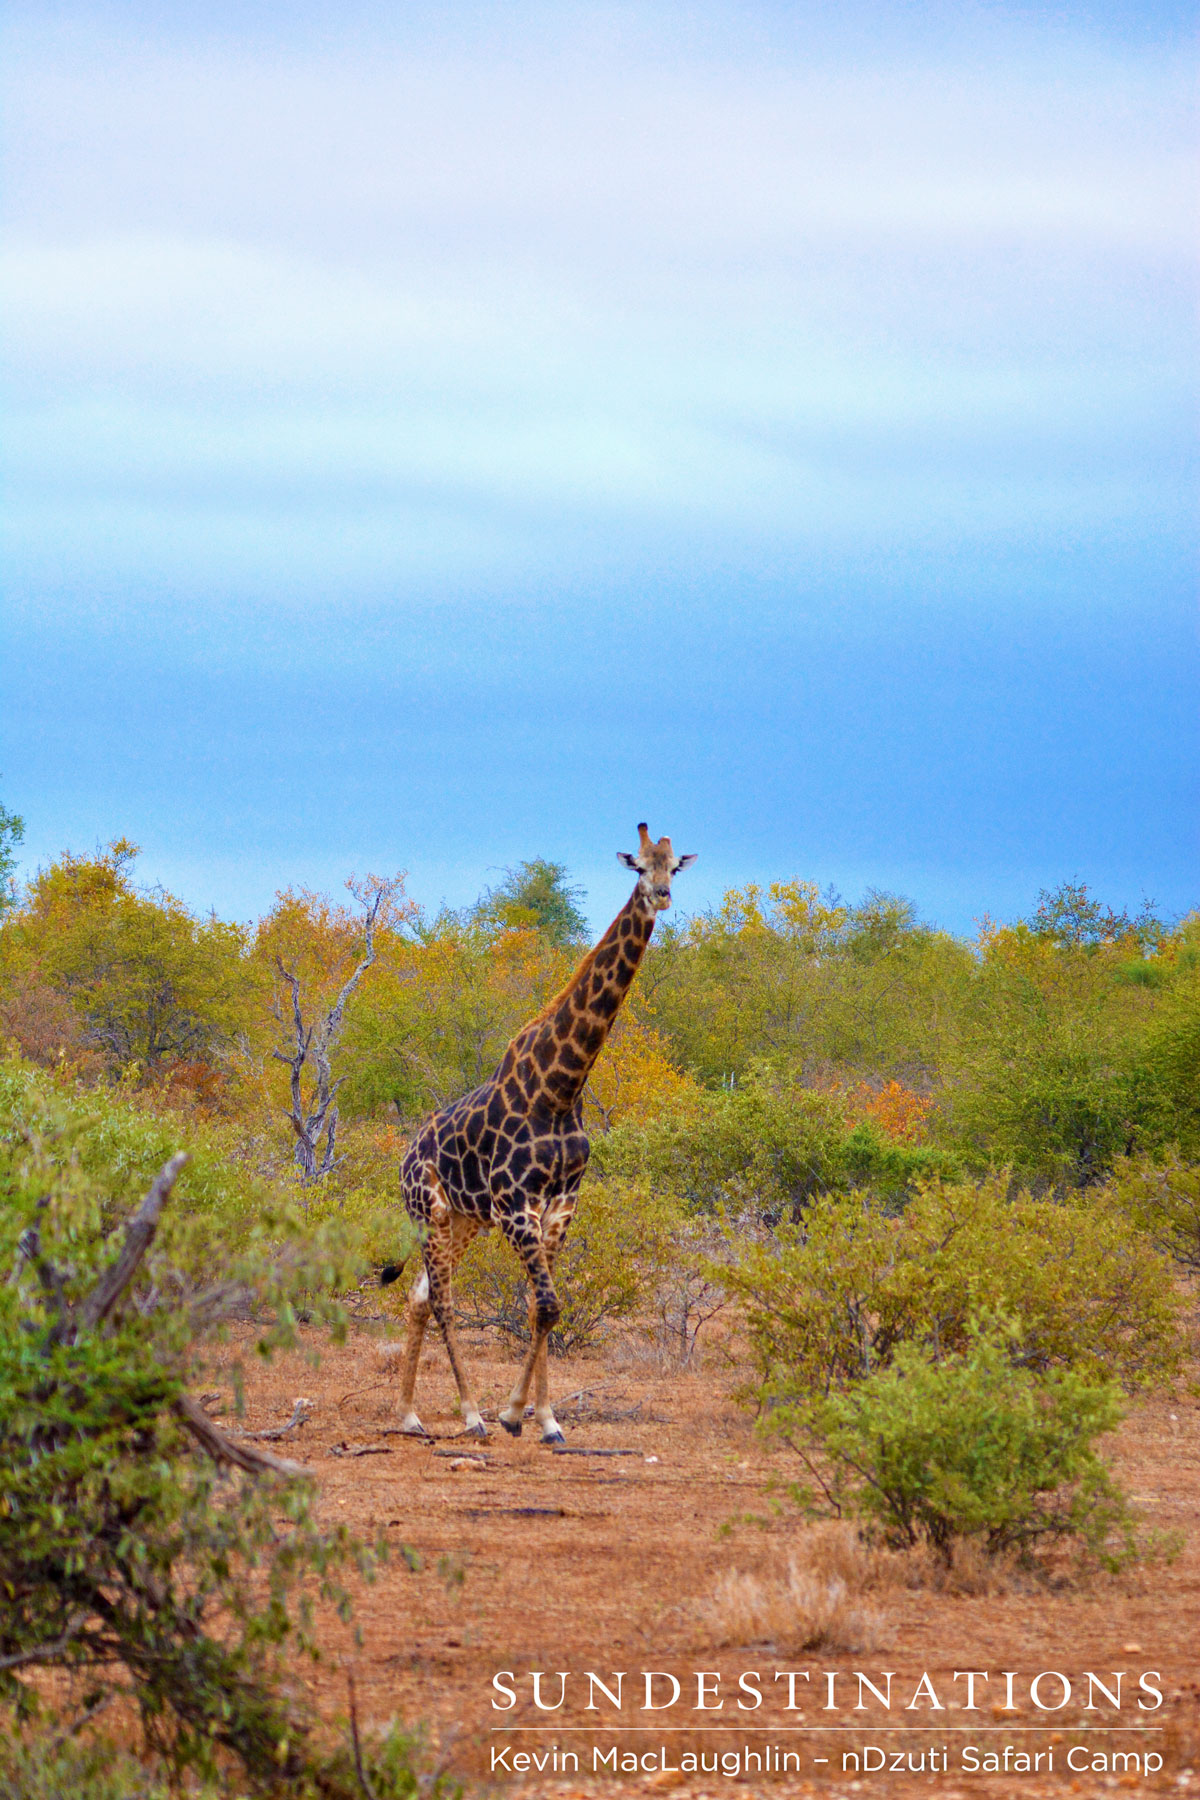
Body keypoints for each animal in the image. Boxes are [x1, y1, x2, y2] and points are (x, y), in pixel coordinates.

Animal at [382, 824, 696, 1443]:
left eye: (676, 866)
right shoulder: (516, 1207)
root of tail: (405, 1158)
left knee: (420, 1297)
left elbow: (539, 1306)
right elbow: (547, 1305)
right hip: (429, 1211)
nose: (662, 896)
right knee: (444, 1300)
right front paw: (513, 1415)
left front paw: (539, 1417)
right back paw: (469, 1414)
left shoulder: (559, 1205)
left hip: (463, 1220)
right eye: (637, 866)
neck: (563, 1086)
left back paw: (408, 1414)